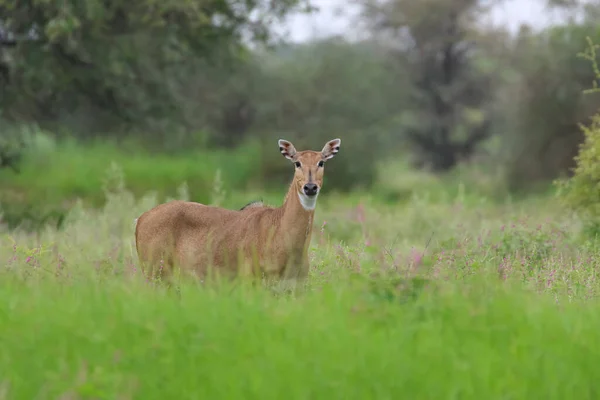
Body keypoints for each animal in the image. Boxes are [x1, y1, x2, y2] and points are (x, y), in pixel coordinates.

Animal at [136, 139, 342, 290]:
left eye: (321, 162)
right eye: (297, 163)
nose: (310, 187)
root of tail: (139, 220)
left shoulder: (296, 285)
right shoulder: (250, 278)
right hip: (154, 271)